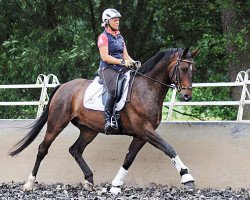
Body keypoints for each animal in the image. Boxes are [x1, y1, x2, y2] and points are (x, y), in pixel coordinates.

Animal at [8, 47, 198, 194]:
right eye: (182, 69)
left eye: (193, 70)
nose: (187, 96)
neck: (146, 89)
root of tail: (63, 86)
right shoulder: (145, 130)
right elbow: (168, 148)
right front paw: (187, 177)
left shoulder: (141, 135)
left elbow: (129, 158)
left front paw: (115, 186)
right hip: (56, 124)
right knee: (42, 149)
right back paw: (29, 184)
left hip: (89, 130)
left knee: (75, 150)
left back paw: (89, 181)